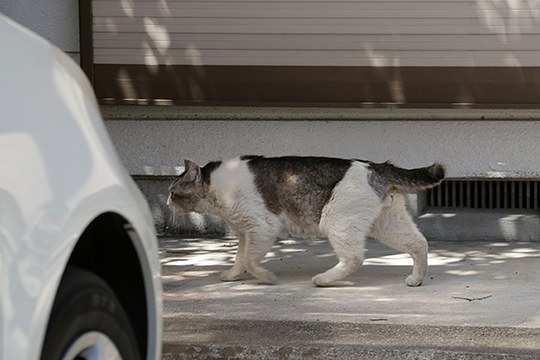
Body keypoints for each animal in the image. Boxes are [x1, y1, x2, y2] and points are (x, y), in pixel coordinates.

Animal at [167, 155, 446, 286]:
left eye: (172, 192)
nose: (167, 202)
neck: (215, 187)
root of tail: (377, 166)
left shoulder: (261, 229)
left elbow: (250, 260)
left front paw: (266, 277)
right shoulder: (246, 233)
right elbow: (240, 259)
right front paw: (233, 275)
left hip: (336, 220)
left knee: (354, 259)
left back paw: (323, 280)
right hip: (388, 223)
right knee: (419, 243)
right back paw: (416, 279)